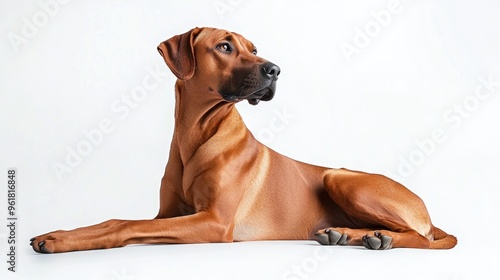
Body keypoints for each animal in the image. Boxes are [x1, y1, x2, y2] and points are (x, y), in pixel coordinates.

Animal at [29, 27, 456, 253]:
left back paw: (378, 236)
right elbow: (114, 218)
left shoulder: (215, 223)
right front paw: (56, 235)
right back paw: (347, 234)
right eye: (224, 46)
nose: (276, 70)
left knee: (420, 236)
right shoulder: (168, 215)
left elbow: (122, 224)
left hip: (339, 176)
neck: (197, 133)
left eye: (253, 48)